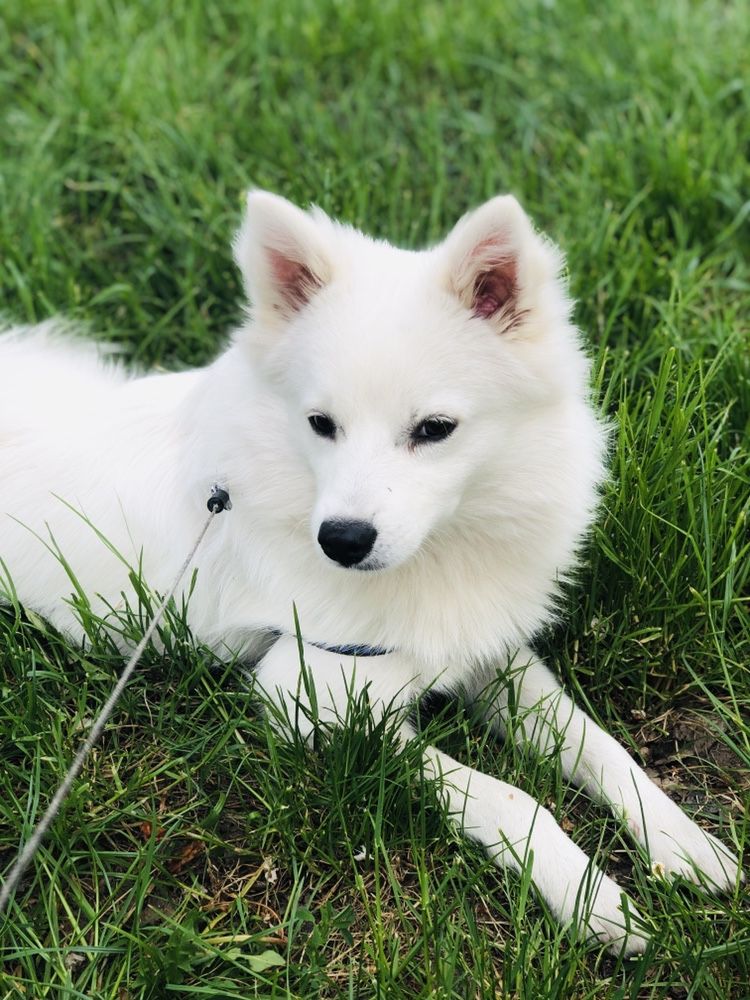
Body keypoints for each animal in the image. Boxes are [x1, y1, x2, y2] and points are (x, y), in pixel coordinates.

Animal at [0, 189, 740, 952]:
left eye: (435, 429)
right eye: (321, 424)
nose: (343, 541)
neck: (436, 553)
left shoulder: (488, 657)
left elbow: (602, 747)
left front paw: (683, 842)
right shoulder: (313, 699)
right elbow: (506, 793)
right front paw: (587, 892)